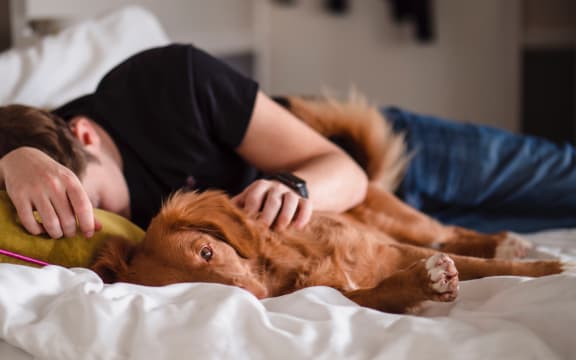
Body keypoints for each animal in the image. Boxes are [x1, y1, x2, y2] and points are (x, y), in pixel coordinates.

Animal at [91, 97, 572, 314]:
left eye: (207, 252)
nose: (256, 298)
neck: (289, 265)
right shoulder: (345, 292)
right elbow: (384, 290)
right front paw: (425, 282)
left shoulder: (392, 247)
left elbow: (488, 267)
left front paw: (553, 269)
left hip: (404, 221)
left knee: (450, 232)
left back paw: (508, 242)